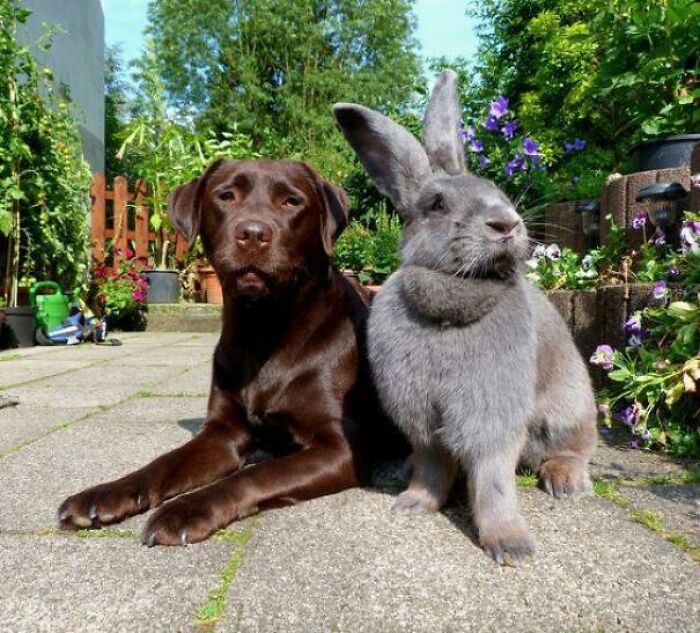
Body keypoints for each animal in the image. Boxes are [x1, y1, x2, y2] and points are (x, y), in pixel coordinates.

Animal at [333, 69, 597, 566]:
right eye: (436, 204)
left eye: (498, 190)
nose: (506, 223)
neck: (453, 294)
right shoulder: (422, 419)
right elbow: (432, 464)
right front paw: (414, 504)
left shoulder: (491, 416)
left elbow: (493, 480)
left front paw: (511, 546)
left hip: (569, 410)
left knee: (574, 448)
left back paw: (567, 481)